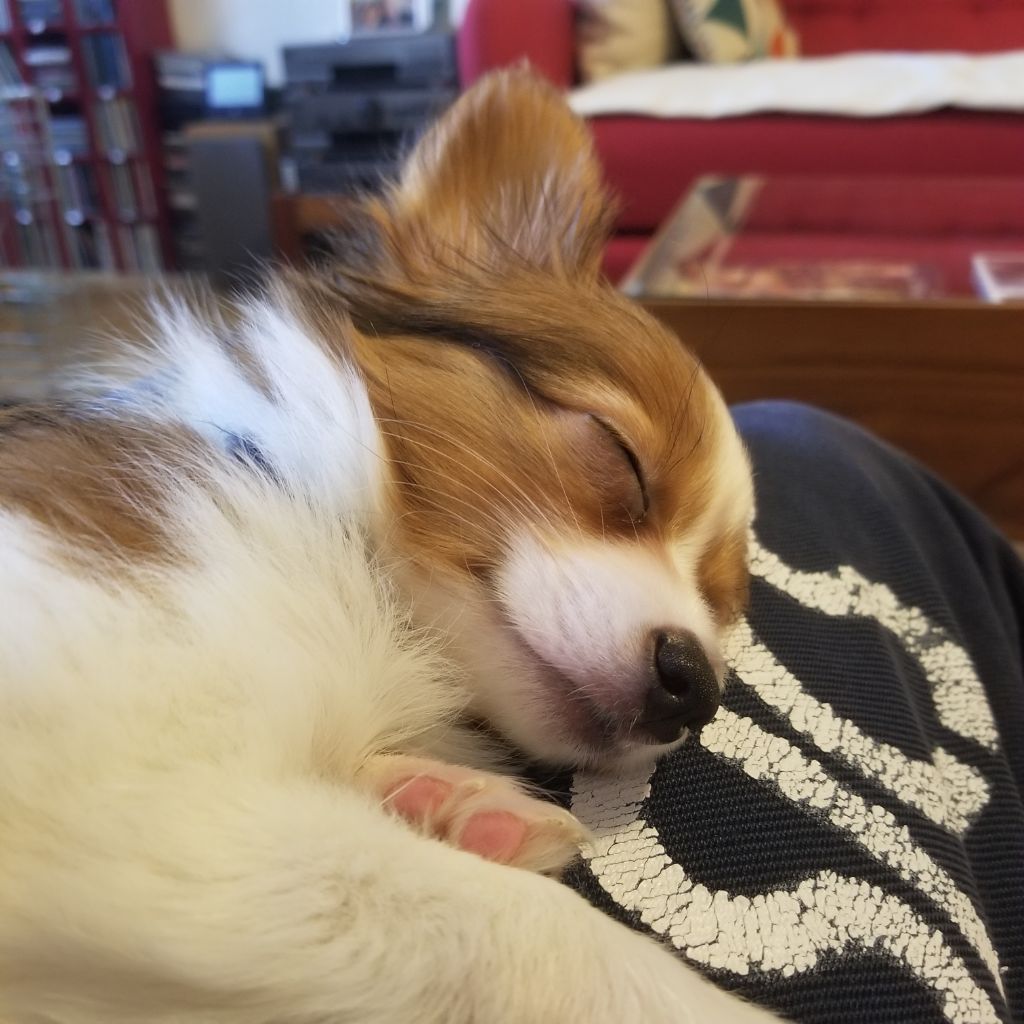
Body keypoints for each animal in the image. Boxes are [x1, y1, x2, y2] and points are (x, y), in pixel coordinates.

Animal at [0, 70, 779, 1022]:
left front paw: (446, 803)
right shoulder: (157, 814)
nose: (694, 685)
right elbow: (554, 942)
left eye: (721, 601)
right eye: (619, 455)